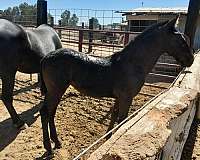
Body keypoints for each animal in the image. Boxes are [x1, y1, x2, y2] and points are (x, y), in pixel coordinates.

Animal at [39, 17, 194, 155]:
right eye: (181, 41)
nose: (191, 60)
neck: (132, 64)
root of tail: (46, 57)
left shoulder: (120, 97)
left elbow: (114, 116)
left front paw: (108, 138)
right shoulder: (126, 97)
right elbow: (122, 120)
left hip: (56, 91)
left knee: (51, 112)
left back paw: (57, 142)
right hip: (56, 90)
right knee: (45, 112)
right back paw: (49, 148)